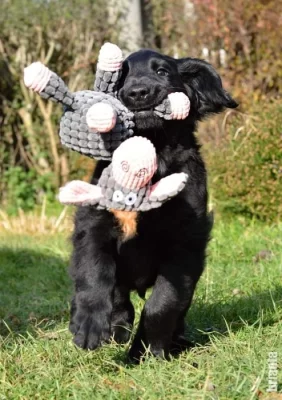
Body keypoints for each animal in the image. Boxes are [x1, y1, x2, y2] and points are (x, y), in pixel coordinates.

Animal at [69, 49, 238, 362]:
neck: (151, 153)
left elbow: (163, 302)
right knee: (119, 295)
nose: (138, 92)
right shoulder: (93, 224)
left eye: (162, 72)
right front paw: (88, 325)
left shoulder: (185, 243)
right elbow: (94, 273)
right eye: (120, 77)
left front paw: (147, 351)